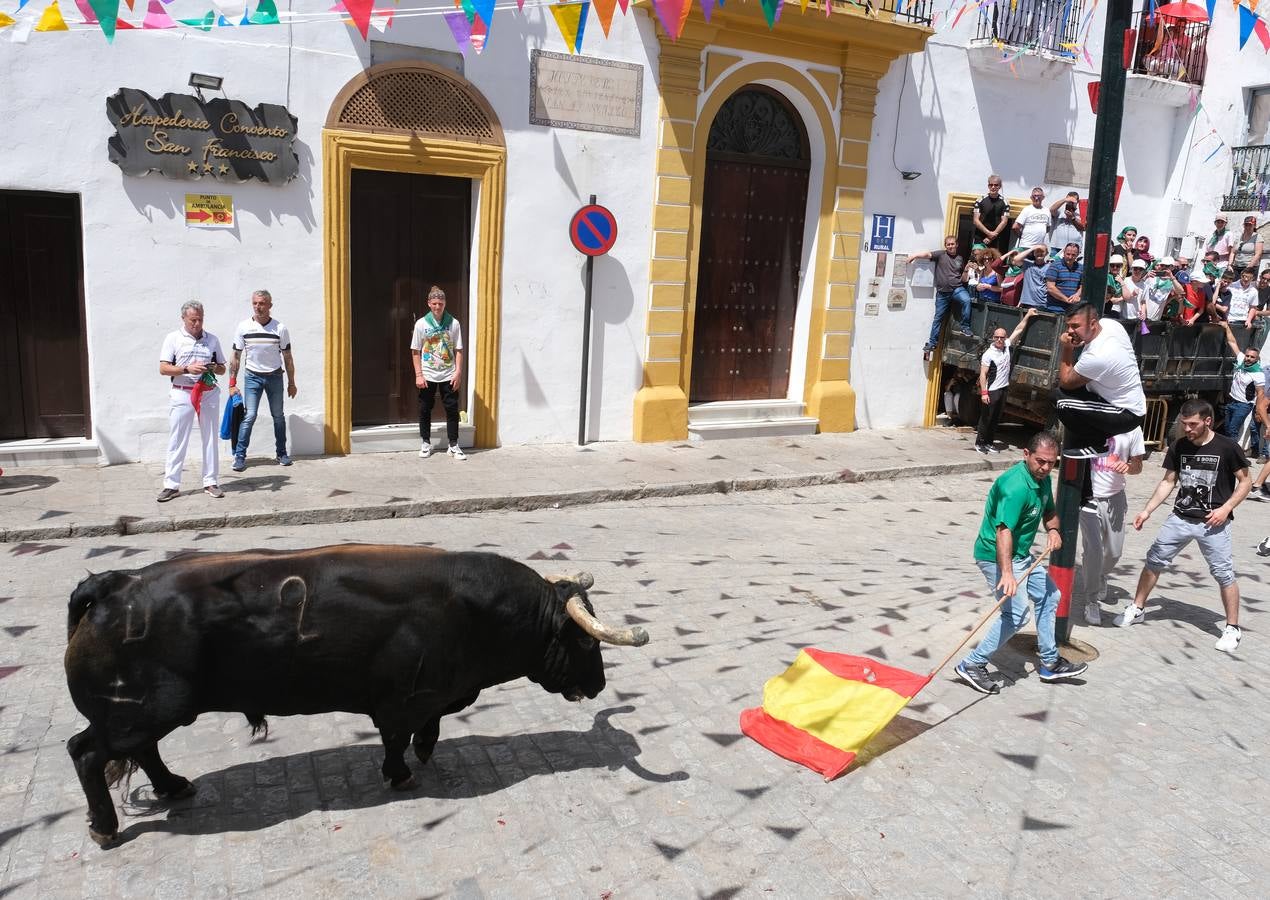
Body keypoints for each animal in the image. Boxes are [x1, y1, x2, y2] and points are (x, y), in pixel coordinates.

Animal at [58, 543, 645, 847]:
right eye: (583, 640)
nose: (598, 684)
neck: (475, 612)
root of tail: (116, 583)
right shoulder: (403, 699)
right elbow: (396, 738)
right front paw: (402, 774)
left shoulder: (429, 694)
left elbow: (428, 728)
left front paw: (425, 753)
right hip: (140, 711)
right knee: (87, 753)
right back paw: (106, 828)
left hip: (143, 712)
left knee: (140, 750)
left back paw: (174, 787)